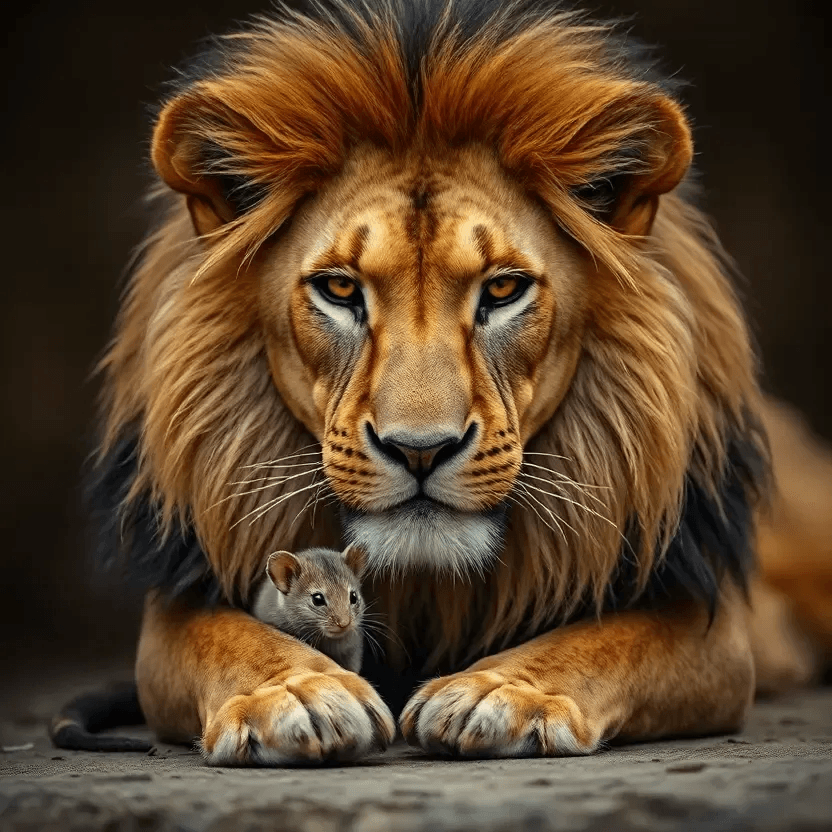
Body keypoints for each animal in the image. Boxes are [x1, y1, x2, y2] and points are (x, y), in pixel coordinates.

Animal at [53, 0, 831, 763]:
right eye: (340, 289)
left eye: (504, 289)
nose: (419, 450)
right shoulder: (177, 607)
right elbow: (232, 637)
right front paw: (300, 693)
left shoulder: (705, 619)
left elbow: (604, 641)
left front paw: (499, 693)